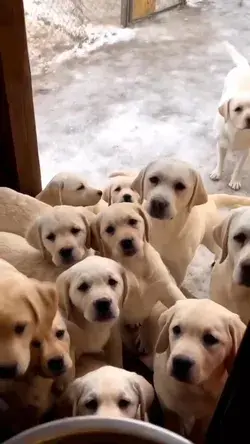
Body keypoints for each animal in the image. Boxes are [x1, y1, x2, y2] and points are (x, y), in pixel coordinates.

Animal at [132, 158, 250, 286]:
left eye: (180, 186)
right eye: (153, 179)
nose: (158, 203)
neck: (164, 228)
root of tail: (211, 198)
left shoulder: (179, 270)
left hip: (212, 239)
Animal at [153, 298, 245, 440]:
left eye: (211, 339)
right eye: (176, 329)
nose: (181, 362)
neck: (193, 389)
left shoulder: (208, 415)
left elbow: (198, 430)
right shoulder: (167, 404)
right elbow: (172, 423)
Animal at [210, 42, 250, 192]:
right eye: (237, 109)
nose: (249, 118)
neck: (236, 131)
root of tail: (244, 66)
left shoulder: (245, 150)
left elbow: (238, 167)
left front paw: (235, 181)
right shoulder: (221, 143)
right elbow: (220, 160)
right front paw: (217, 172)